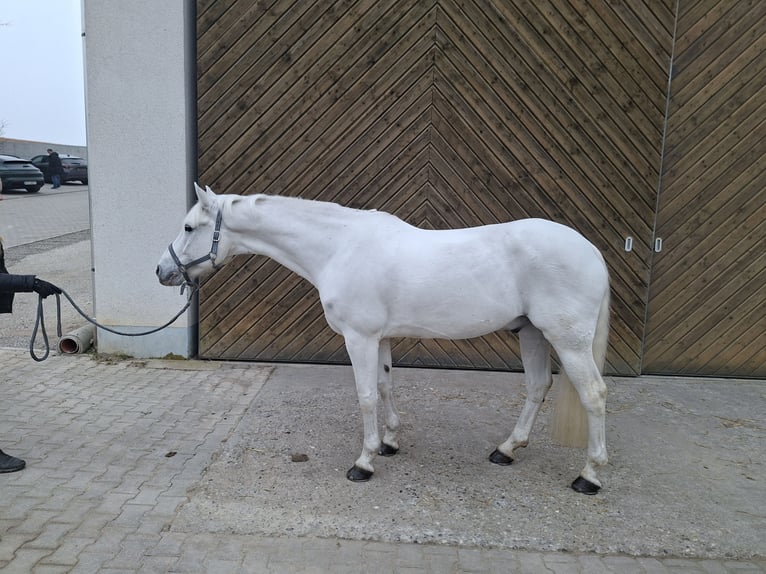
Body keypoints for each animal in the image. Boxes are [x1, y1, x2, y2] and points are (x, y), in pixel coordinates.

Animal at [157, 184, 611, 494]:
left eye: (189, 226)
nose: (163, 271)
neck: (339, 247)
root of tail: (591, 251)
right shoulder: (382, 337)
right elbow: (385, 384)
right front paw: (391, 442)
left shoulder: (359, 337)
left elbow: (366, 396)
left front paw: (365, 461)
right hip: (531, 332)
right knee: (537, 386)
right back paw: (507, 449)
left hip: (567, 339)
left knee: (593, 393)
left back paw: (589, 475)